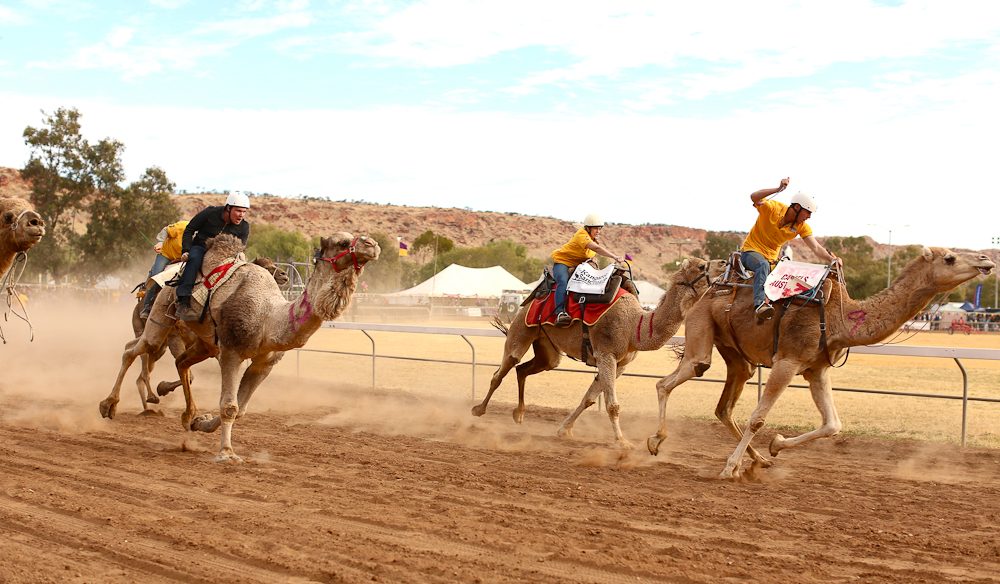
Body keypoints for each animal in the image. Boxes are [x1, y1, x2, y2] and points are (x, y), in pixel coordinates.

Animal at [127, 258, 288, 412]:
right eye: (266, 267)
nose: (284, 274)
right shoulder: (176, 338)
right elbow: (189, 375)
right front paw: (163, 388)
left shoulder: (211, 345)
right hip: (145, 330)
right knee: (143, 358)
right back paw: (151, 397)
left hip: (160, 347)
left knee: (143, 365)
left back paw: (146, 406)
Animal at [472, 256, 724, 448]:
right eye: (702, 266)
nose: (723, 262)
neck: (635, 326)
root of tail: (531, 297)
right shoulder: (606, 354)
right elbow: (612, 404)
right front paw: (623, 442)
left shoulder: (621, 364)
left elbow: (589, 398)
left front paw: (564, 430)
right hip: (523, 329)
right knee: (504, 369)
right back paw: (478, 410)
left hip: (548, 351)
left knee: (524, 369)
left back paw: (519, 414)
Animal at [648, 246, 992, 480]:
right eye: (949, 258)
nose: (986, 261)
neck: (841, 318)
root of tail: (704, 291)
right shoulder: (787, 361)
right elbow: (758, 418)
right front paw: (730, 467)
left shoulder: (816, 369)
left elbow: (833, 424)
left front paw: (776, 445)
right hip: (700, 331)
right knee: (676, 377)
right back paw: (655, 441)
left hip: (736, 356)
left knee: (724, 407)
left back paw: (760, 461)